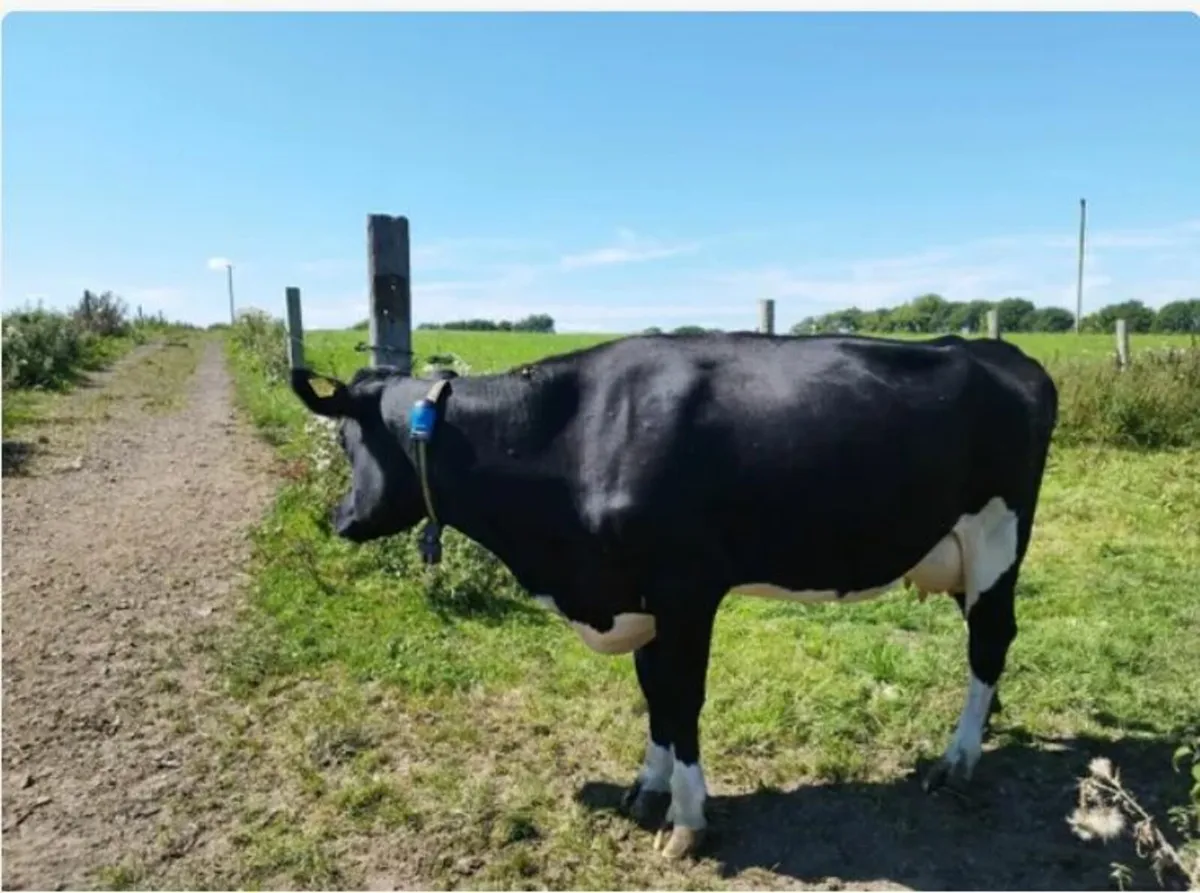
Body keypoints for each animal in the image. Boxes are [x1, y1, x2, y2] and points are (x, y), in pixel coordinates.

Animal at [290, 330, 1058, 860]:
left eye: (350, 438)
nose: (340, 519)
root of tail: (997, 350)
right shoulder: (640, 595)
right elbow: (653, 693)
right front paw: (647, 788)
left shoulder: (686, 589)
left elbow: (682, 698)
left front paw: (687, 820)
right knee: (990, 646)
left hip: (996, 539)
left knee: (990, 642)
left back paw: (958, 758)